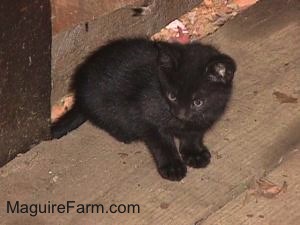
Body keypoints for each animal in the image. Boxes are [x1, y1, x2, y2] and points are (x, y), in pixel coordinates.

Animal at [53, 37, 237, 181]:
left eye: (198, 102)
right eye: (172, 96)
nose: (179, 113)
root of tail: (79, 97)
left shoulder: (202, 119)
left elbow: (193, 135)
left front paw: (194, 153)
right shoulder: (148, 118)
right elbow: (162, 144)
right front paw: (172, 166)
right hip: (105, 106)